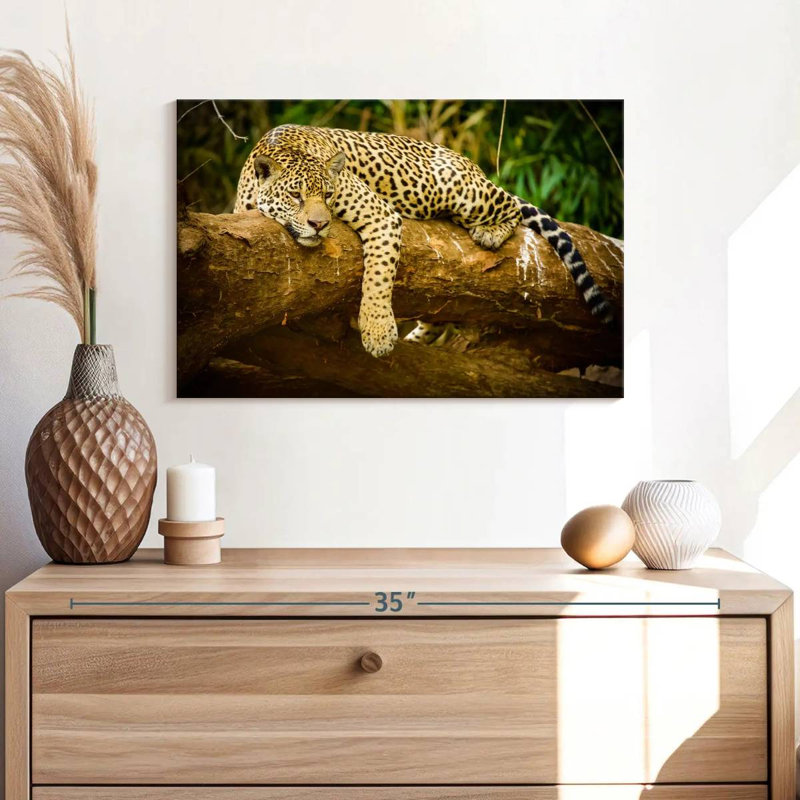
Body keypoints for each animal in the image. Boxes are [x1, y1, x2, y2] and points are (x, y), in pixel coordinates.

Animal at [235, 124, 614, 358]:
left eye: (328, 195)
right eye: (296, 196)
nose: (319, 224)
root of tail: (469, 162)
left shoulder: (381, 215)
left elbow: (377, 277)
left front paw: (377, 333)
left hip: (460, 189)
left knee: (510, 204)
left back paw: (490, 231)